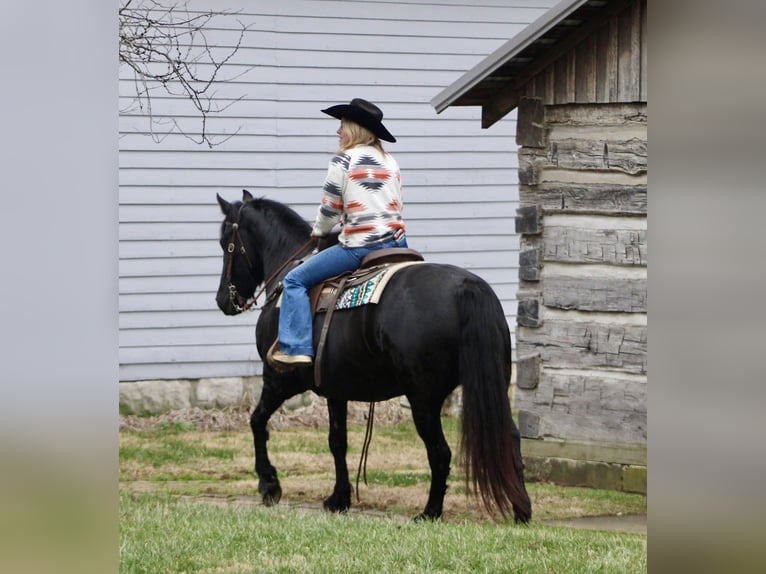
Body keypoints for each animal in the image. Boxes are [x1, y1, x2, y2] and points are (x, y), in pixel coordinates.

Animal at [215, 189, 531, 522]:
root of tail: (467, 287)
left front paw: (269, 485)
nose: (223, 299)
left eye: (226, 243)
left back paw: (430, 512)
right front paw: (339, 498)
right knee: (509, 438)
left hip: (424, 399)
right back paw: (521, 509)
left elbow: (257, 421)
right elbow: (337, 441)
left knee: (440, 452)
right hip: (493, 385)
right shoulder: (335, 389)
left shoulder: (279, 379)